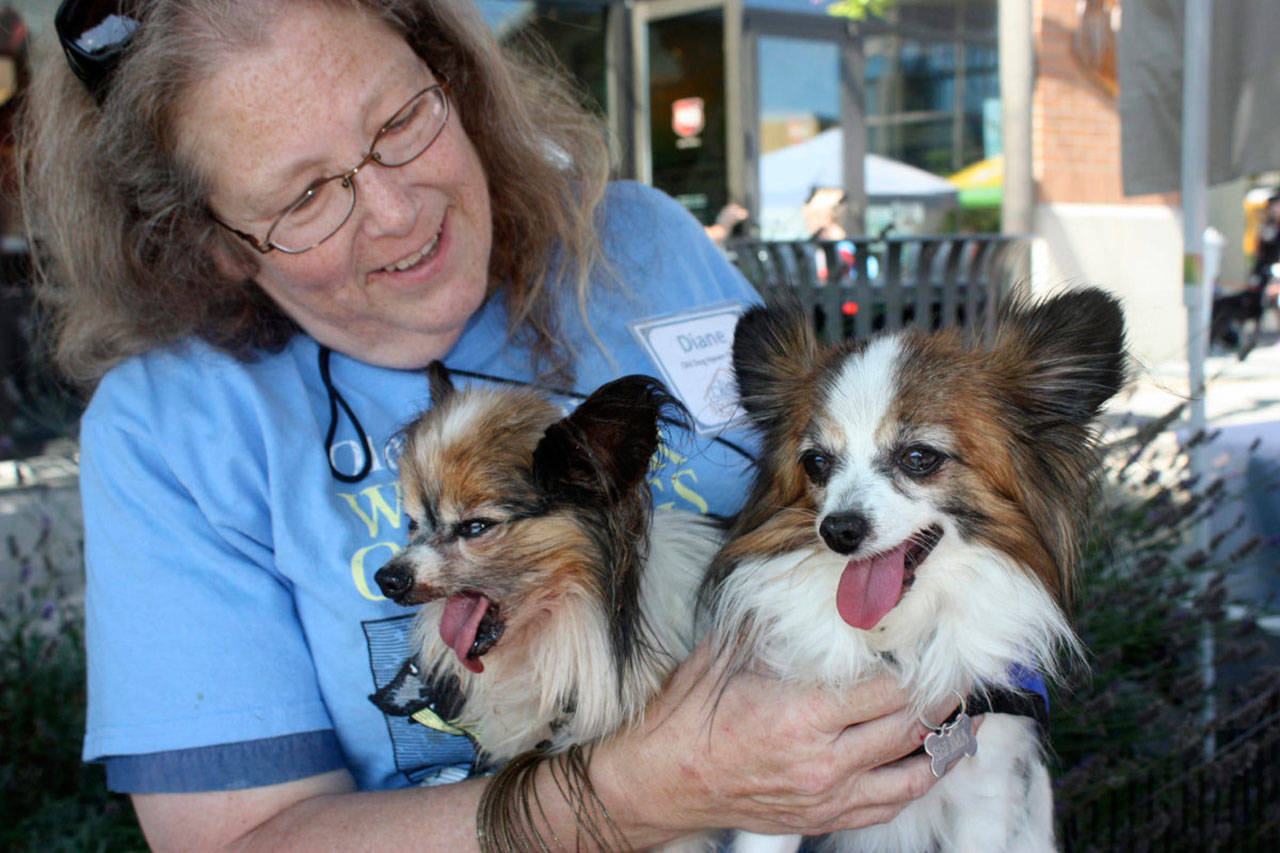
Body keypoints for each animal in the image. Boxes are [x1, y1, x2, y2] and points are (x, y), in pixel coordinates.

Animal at [706, 289, 1126, 845]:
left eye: (919, 457)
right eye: (815, 463)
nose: (838, 530)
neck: (896, 633)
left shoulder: (985, 791)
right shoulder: (779, 804)